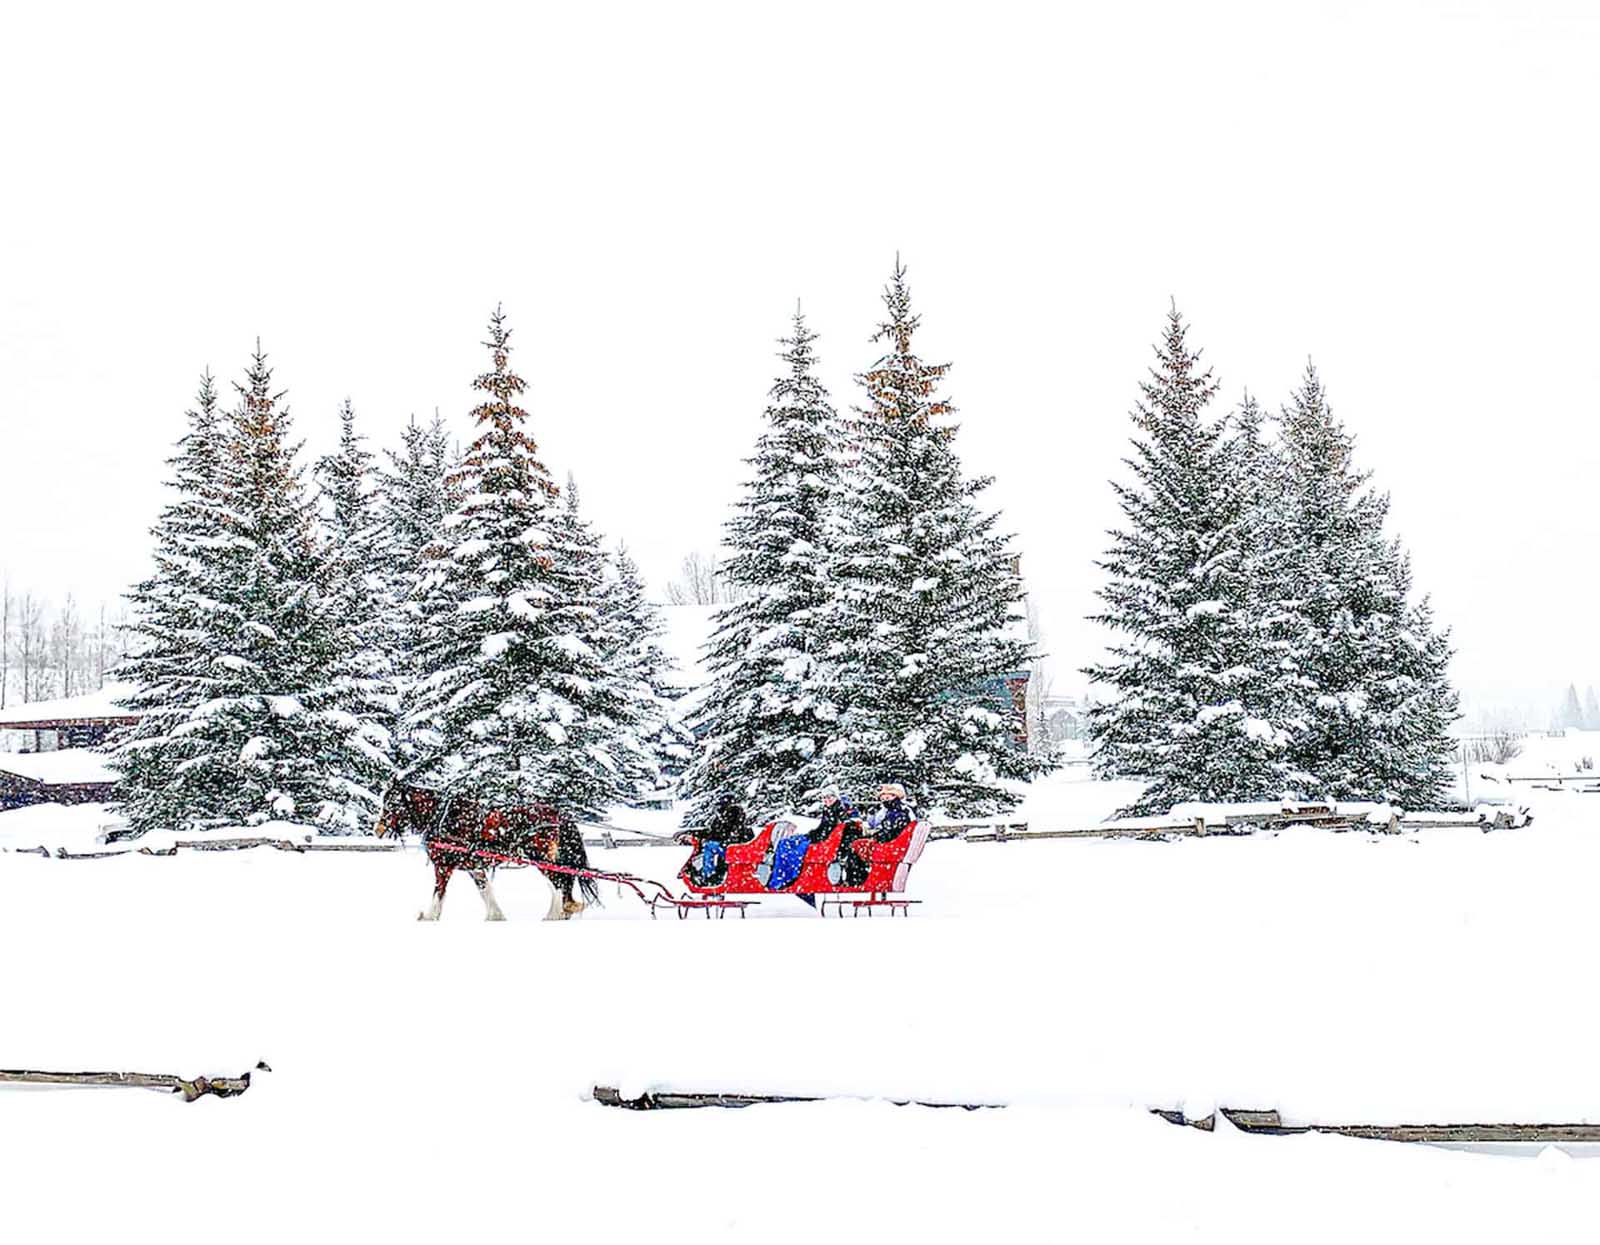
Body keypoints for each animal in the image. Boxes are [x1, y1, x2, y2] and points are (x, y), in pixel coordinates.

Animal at [372, 780, 601, 915]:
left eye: (392, 804)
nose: (378, 830)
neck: (441, 817)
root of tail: (557, 815)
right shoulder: (474, 867)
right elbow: (486, 891)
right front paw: (496, 917)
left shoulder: (443, 867)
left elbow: (438, 895)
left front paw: (428, 918)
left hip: (542, 859)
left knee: (559, 885)